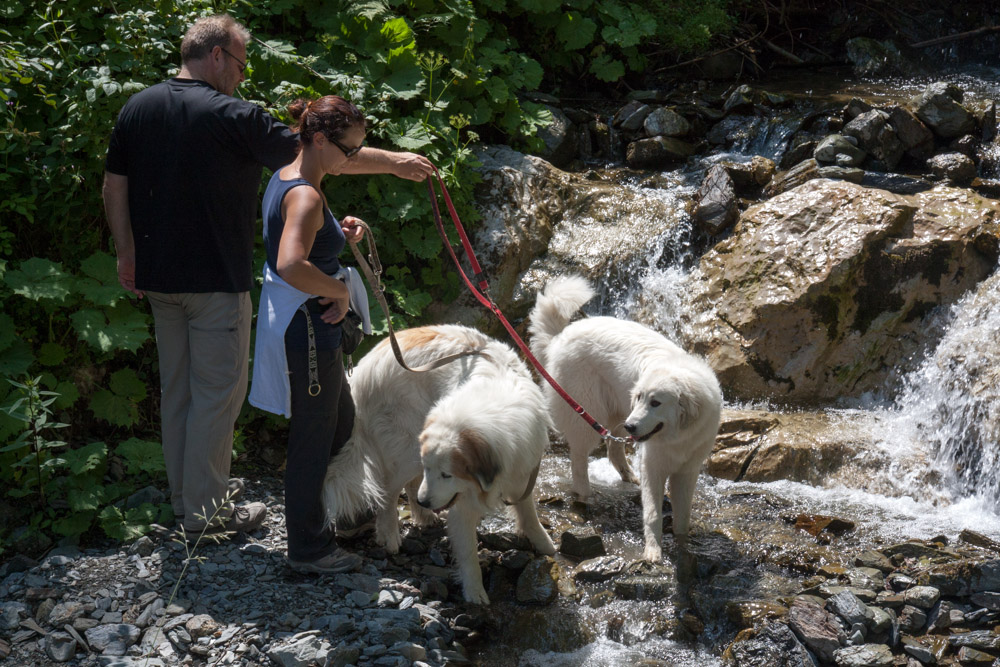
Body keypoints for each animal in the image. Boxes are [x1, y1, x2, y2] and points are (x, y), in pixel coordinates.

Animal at [320, 324, 556, 604]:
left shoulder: (522, 471)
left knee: (409, 486)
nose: (425, 502)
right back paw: (390, 534)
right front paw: (475, 592)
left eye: (446, 475)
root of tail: (362, 370)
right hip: (407, 449)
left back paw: (423, 516)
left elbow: (528, 513)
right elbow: (468, 552)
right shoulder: (462, 501)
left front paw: (544, 544)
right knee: (388, 492)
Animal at [528, 276, 724, 564]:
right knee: (579, 458)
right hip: (592, 413)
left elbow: (683, 517)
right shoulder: (654, 465)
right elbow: (653, 513)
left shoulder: (687, 471)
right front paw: (653, 552)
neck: (678, 437)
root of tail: (560, 338)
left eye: (655, 402)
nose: (632, 427)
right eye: (640, 396)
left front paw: (683, 546)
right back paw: (585, 494)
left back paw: (629, 476)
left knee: (613, 447)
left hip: (619, 413)